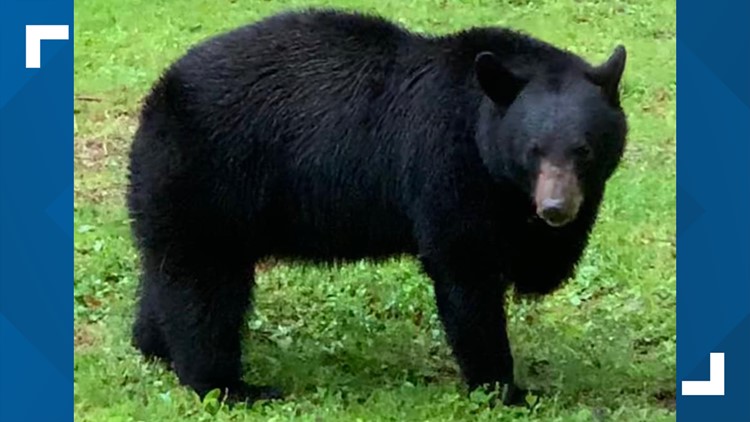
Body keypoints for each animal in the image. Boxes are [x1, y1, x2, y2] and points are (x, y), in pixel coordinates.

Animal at [128, 9, 628, 406]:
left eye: (583, 150)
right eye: (533, 150)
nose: (556, 207)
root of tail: (158, 96)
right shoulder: (446, 166)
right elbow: (466, 274)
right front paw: (504, 388)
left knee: (167, 271)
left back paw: (153, 345)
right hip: (209, 178)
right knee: (205, 288)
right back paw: (227, 385)